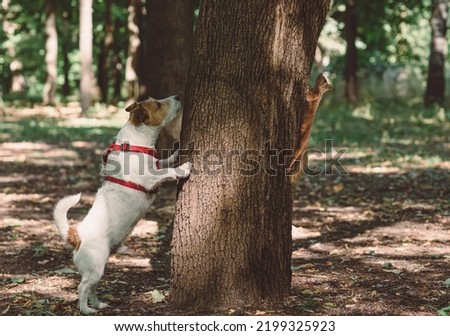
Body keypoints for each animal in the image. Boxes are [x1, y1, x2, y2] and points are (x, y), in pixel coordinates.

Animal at [53, 95, 192, 316]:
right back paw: (86, 309)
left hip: (98, 268)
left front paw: (177, 152)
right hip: (95, 266)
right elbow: (168, 171)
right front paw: (183, 167)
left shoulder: (156, 166)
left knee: (92, 287)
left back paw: (98, 304)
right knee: (82, 287)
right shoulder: (150, 179)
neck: (135, 145)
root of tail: (76, 235)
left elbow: (165, 161)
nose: (178, 96)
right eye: (158, 104)